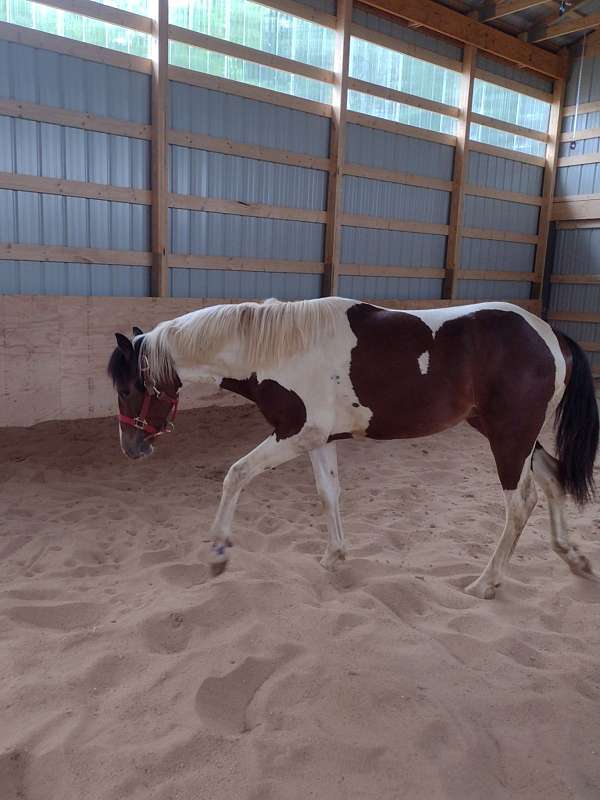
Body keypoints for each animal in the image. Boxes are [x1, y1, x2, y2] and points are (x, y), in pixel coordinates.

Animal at [108, 300, 600, 600]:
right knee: (552, 479)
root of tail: (551, 334)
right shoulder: (317, 440)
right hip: (514, 436)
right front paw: (333, 556)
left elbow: (236, 474)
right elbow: (328, 494)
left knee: (521, 504)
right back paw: (572, 556)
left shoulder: (294, 434)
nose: (131, 447)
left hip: (509, 438)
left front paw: (218, 552)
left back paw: (486, 582)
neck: (276, 351)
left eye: (129, 387)